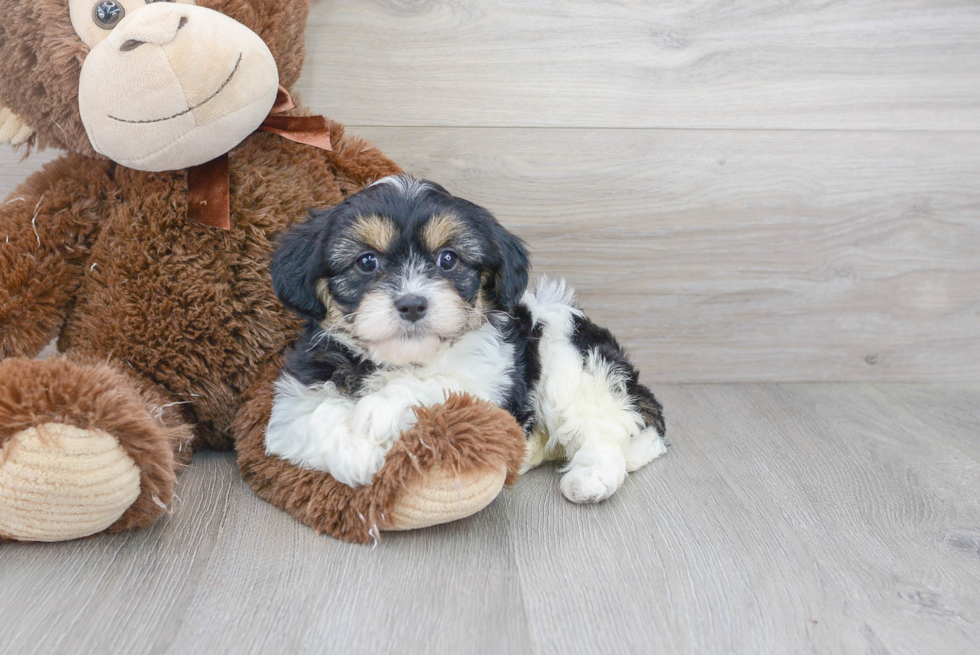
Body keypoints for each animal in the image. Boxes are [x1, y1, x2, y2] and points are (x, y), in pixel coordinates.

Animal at [266, 177, 668, 504]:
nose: (412, 303)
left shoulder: (488, 386)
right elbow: (311, 419)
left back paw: (591, 478)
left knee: (602, 426)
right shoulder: (296, 399)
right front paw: (357, 456)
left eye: (448, 260)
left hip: (568, 356)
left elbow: (441, 387)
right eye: (366, 262)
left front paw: (378, 411)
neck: (406, 359)